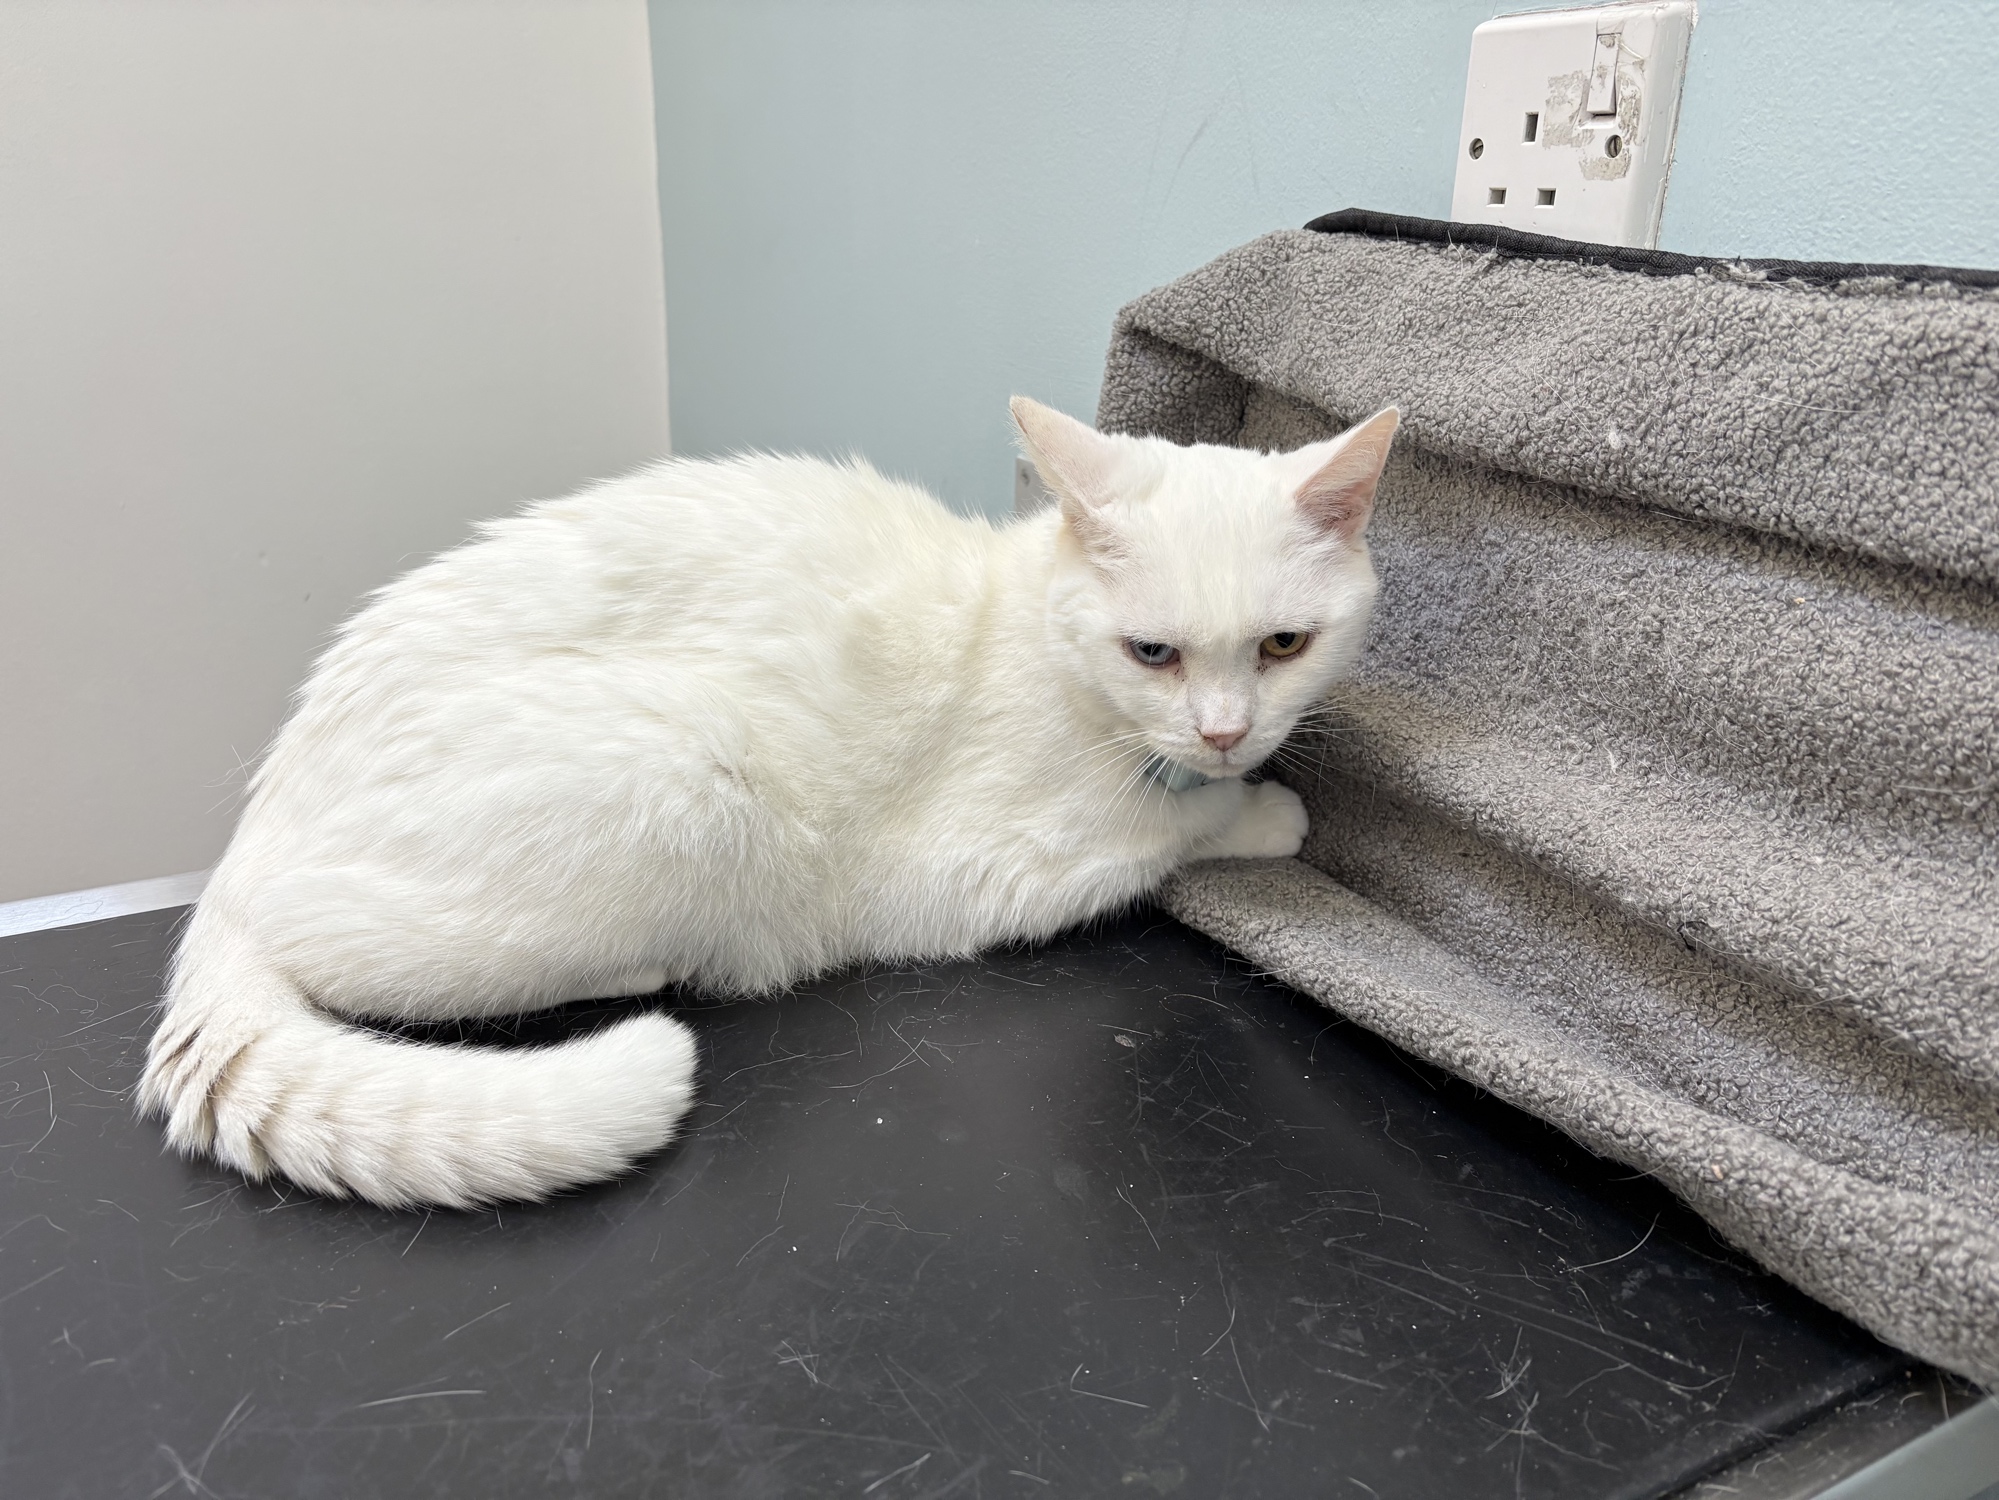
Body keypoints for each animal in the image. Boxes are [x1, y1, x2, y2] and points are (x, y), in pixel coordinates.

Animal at [138, 399, 1399, 1209]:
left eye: (1283, 646)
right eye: (1152, 653)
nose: (1226, 730)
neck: (1035, 632)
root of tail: (242, 855)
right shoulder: (981, 872)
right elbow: (1167, 827)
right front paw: (1265, 815)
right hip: (686, 768)